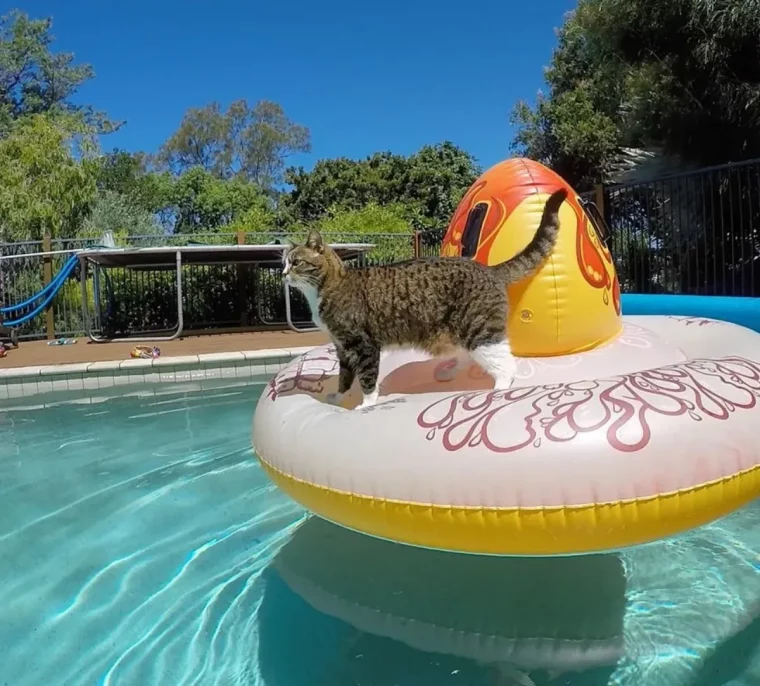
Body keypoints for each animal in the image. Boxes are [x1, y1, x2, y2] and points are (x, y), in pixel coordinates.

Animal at [282, 188, 568, 412]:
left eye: (296, 262)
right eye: (284, 262)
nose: (283, 274)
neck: (330, 285)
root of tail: (488, 269)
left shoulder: (363, 345)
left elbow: (367, 378)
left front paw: (366, 405)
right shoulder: (342, 346)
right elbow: (344, 376)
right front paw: (338, 398)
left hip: (479, 329)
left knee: (506, 364)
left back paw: (498, 390)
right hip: (460, 331)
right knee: (469, 355)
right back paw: (448, 372)